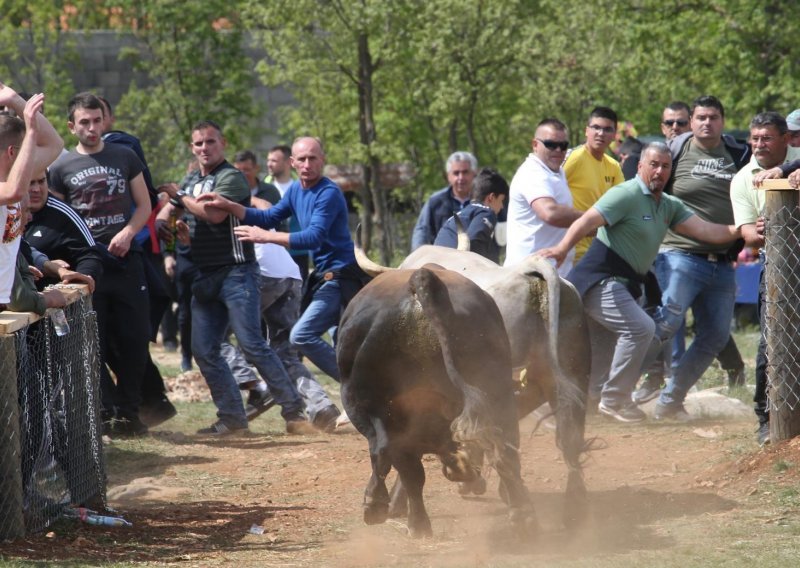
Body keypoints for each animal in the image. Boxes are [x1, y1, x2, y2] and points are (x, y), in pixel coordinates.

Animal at [334, 266, 536, 536]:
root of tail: (422, 277)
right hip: (496, 393)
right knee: (503, 449)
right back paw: (520, 513)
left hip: (371, 404)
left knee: (391, 456)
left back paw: (393, 512)